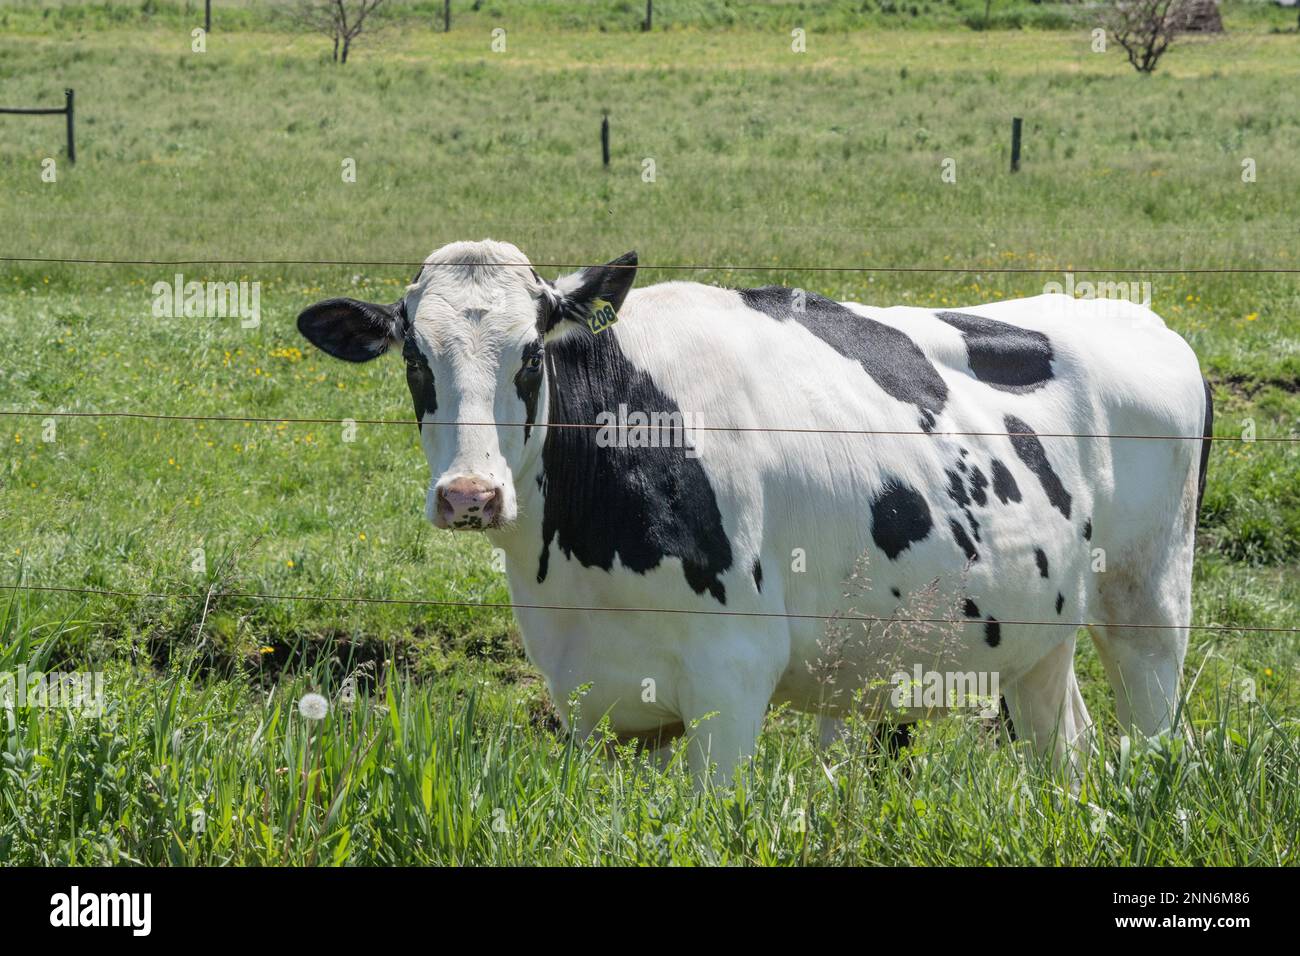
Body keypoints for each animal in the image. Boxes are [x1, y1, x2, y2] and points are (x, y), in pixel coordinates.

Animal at [299, 239, 1211, 785]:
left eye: (530, 356)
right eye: (415, 359)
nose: (470, 495)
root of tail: (1133, 315)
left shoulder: (731, 679)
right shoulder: (591, 699)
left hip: (1149, 603)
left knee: (1153, 728)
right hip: (1038, 628)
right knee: (1067, 749)